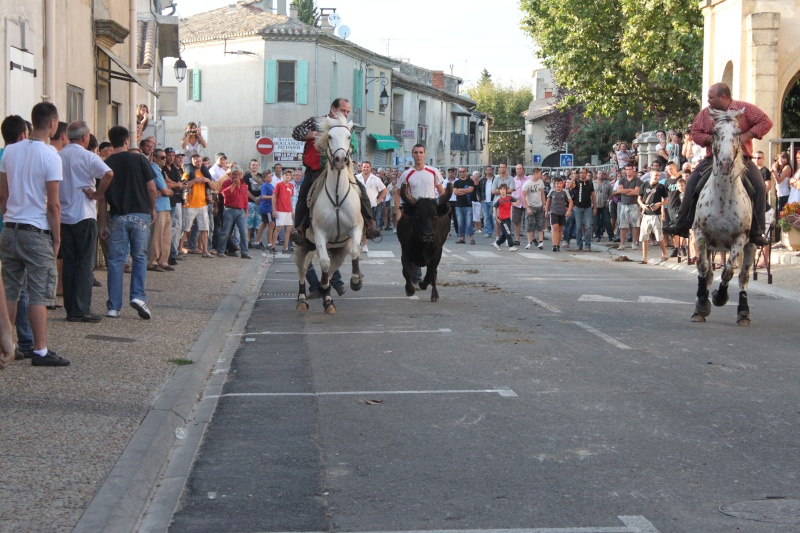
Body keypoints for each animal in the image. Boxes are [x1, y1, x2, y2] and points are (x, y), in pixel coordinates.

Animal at [692, 107, 756, 324]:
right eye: (715, 132)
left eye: (737, 133)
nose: (726, 163)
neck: (723, 197)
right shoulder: (700, 233)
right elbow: (702, 267)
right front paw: (702, 304)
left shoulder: (740, 238)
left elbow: (728, 272)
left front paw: (719, 297)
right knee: (709, 272)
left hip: (752, 245)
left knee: (743, 276)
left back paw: (744, 313)